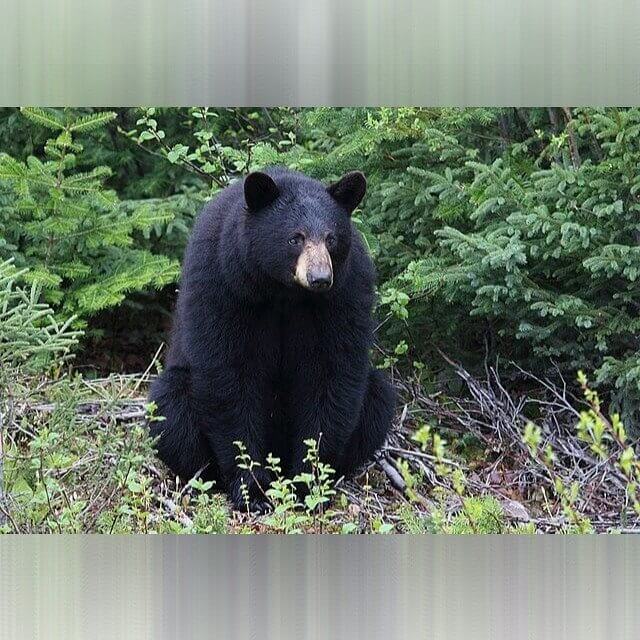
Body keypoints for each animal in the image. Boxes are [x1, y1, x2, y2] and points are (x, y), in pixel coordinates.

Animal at [148, 167, 395, 512]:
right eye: (295, 238)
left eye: (331, 239)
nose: (320, 278)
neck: (283, 292)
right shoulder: (222, 282)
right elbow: (229, 376)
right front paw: (252, 489)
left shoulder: (345, 291)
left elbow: (331, 374)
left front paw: (307, 485)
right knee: (169, 408)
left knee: (377, 398)